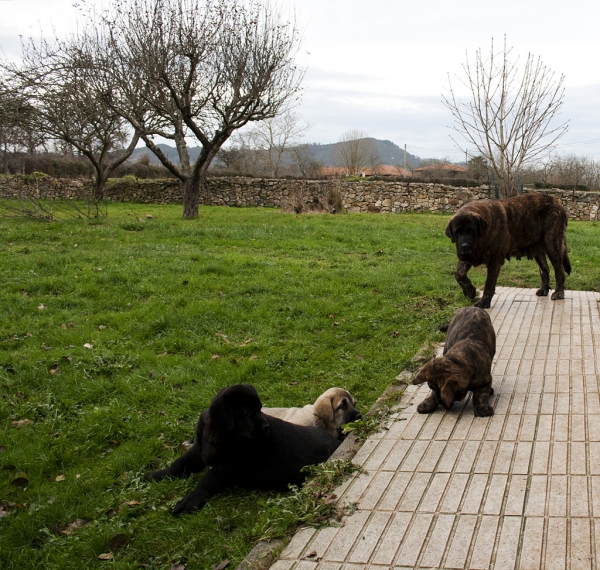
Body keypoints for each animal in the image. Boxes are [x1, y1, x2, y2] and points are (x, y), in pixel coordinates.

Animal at [145, 384, 340, 512]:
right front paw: (157, 475)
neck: (222, 433)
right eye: (246, 411)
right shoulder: (200, 449)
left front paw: (190, 501)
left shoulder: (228, 464)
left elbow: (207, 481)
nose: (266, 427)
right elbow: (179, 463)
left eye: (260, 409)